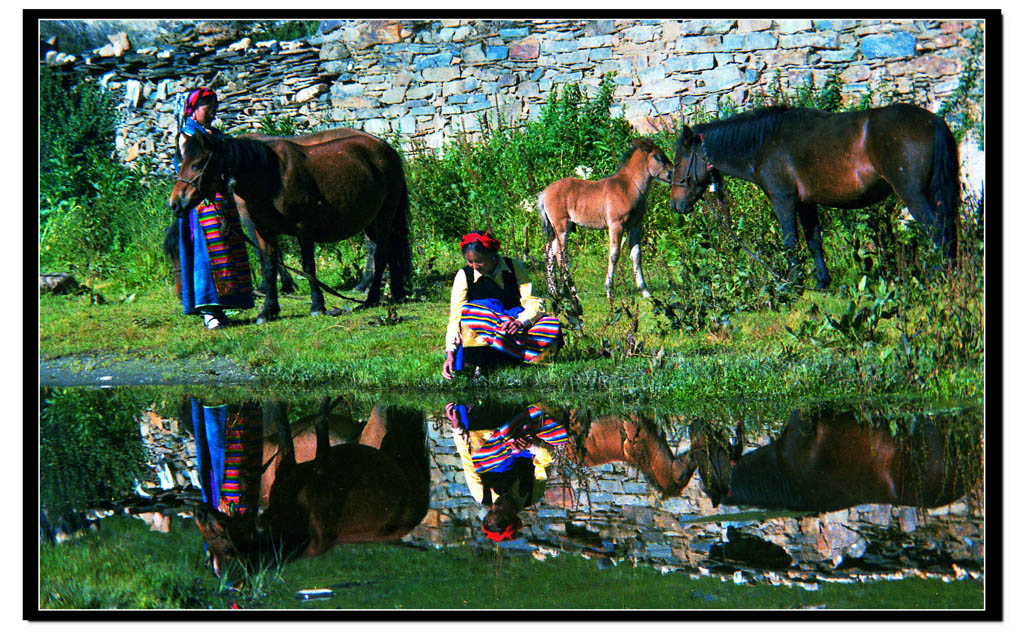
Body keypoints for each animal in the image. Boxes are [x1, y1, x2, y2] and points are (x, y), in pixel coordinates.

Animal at [168, 125, 411, 323]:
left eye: (197, 164)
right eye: (182, 164)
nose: (176, 204)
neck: (270, 176)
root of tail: (386, 148)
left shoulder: (303, 228)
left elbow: (308, 267)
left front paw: (317, 305)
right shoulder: (263, 230)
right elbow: (269, 266)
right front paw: (268, 310)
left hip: (385, 214)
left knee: (381, 253)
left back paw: (371, 297)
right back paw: (394, 292)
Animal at [540, 138, 675, 301]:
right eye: (659, 156)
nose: (673, 173)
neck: (629, 187)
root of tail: (544, 193)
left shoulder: (636, 225)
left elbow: (636, 254)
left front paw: (645, 292)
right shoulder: (616, 224)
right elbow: (614, 254)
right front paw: (609, 291)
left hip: (555, 228)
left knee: (549, 252)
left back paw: (555, 291)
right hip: (561, 226)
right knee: (560, 254)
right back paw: (572, 292)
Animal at [671, 103, 958, 288]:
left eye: (679, 161)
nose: (676, 204)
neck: (765, 142)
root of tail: (933, 121)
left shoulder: (784, 200)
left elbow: (790, 242)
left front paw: (792, 284)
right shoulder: (806, 204)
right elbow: (814, 242)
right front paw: (822, 282)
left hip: (914, 195)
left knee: (937, 231)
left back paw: (938, 276)